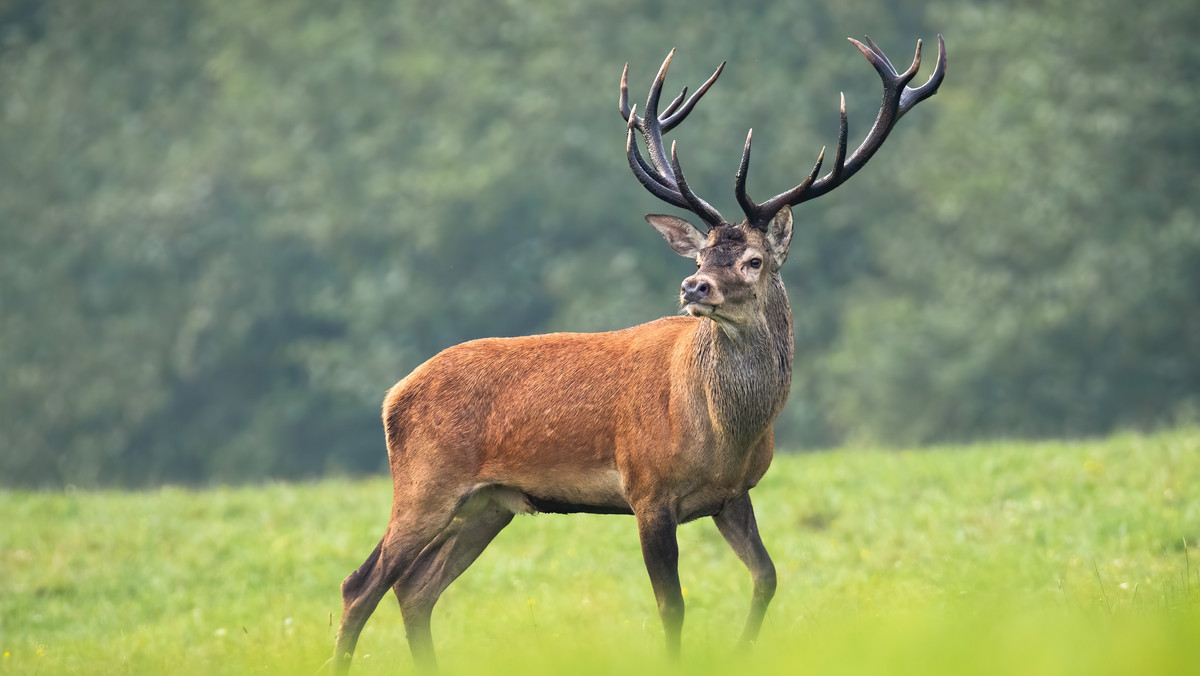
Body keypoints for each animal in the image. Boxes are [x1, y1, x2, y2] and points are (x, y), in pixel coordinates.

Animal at [331, 35, 945, 672]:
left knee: (415, 587)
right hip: (426, 482)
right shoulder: (647, 489)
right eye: (699, 255)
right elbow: (673, 606)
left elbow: (768, 577)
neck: (725, 431)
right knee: (363, 583)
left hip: (488, 504)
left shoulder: (733, 495)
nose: (693, 287)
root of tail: (393, 396)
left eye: (753, 260)